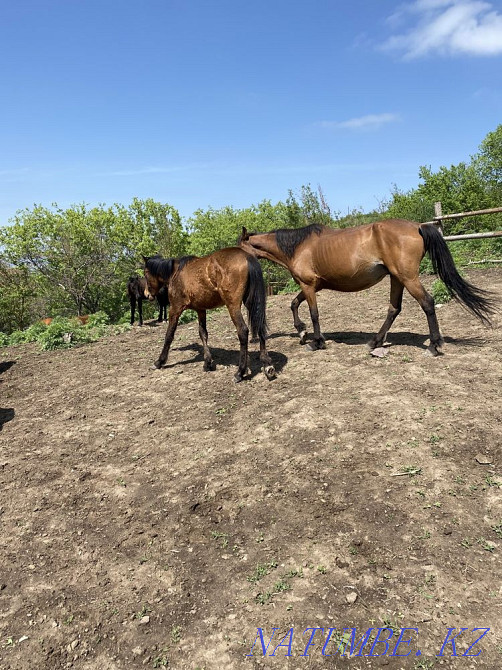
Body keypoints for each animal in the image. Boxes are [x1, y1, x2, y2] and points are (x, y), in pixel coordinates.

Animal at [143, 250, 276, 382]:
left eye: (145, 273)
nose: (147, 294)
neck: (175, 273)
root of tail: (247, 256)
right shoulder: (200, 310)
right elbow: (203, 334)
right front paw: (207, 363)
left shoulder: (175, 308)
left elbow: (169, 335)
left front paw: (159, 362)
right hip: (251, 302)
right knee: (260, 326)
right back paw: (267, 364)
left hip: (233, 306)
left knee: (242, 331)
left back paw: (240, 372)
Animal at [238, 219, 496, 355]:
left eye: (239, 247)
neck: (298, 247)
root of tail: (418, 226)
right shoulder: (313, 286)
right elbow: (294, 303)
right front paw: (302, 333)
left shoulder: (309, 285)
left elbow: (313, 313)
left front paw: (316, 341)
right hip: (396, 278)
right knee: (394, 309)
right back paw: (375, 341)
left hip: (408, 278)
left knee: (427, 303)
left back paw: (433, 345)